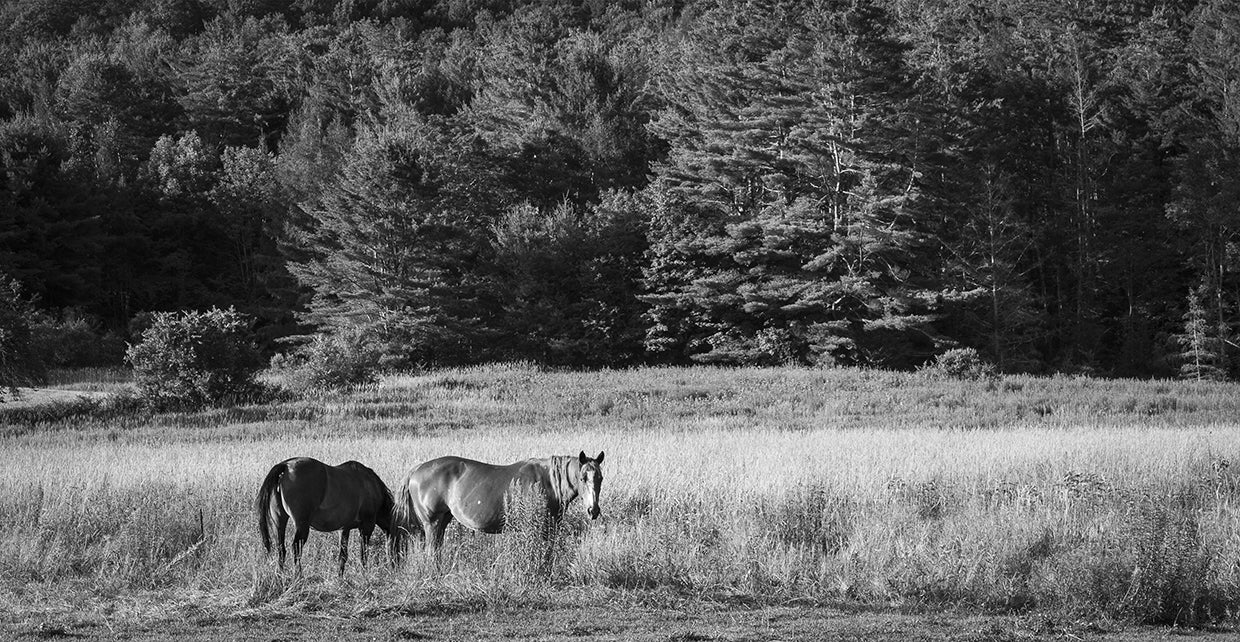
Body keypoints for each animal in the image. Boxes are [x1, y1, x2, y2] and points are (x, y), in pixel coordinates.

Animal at [256, 457, 398, 575]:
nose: (397, 567)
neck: (371, 486)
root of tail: (285, 466)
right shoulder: (367, 527)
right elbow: (363, 554)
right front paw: (364, 575)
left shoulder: (344, 528)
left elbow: (343, 555)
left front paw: (340, 577)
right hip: (302, 526)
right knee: (296, 549)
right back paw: (299, 576)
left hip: (279, 522)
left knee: (281, 550)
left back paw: (280, 576)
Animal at [393, 451, 604, 558]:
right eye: (582, 478)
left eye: (600, 478)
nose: (593, 510)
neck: (548, 481)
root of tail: (417, 470)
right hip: (432, 523)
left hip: (443, 521)